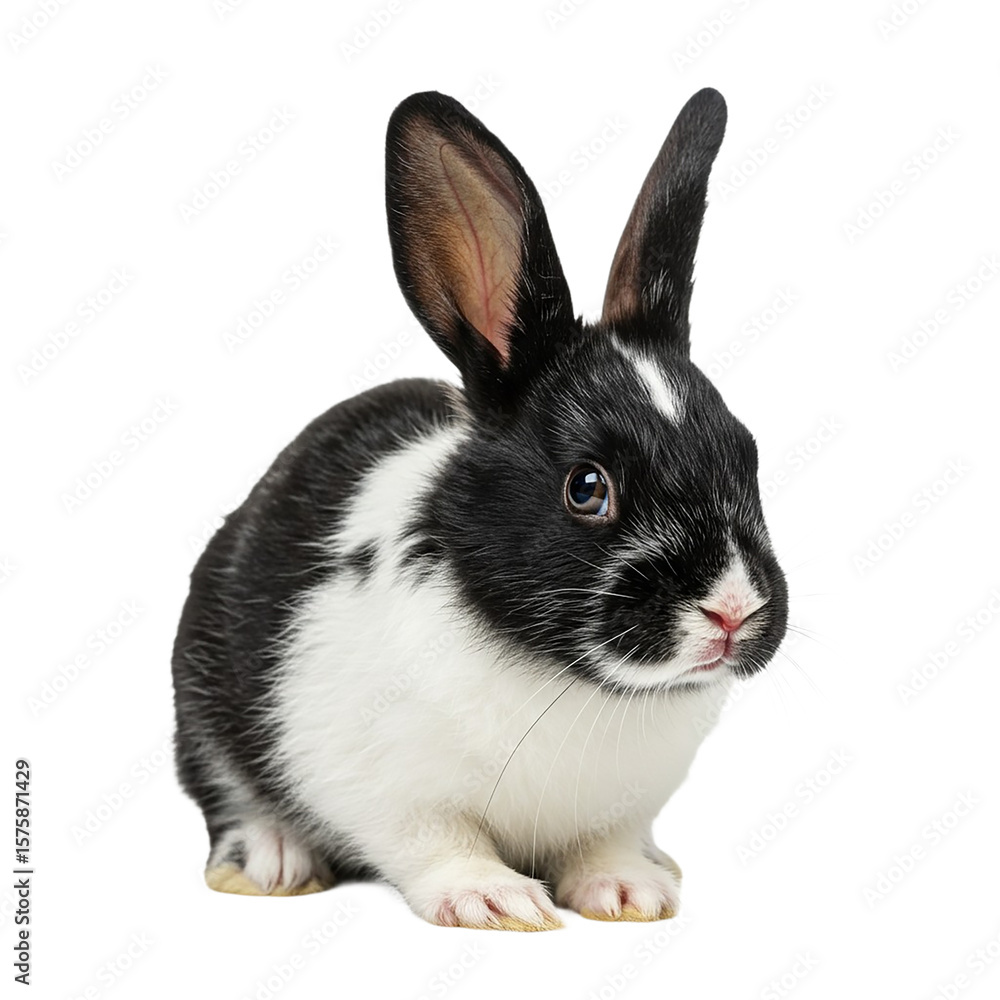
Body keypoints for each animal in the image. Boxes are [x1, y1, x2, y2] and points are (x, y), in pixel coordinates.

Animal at [171, 87, 788, 930]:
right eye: (586, 487)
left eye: (747, 456)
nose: (732, 610)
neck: (569, 680)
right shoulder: (387, 787)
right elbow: (437, 841)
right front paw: (494, 902)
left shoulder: (622, 809)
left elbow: (606, 843)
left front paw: (630, 892)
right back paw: (272, 862)